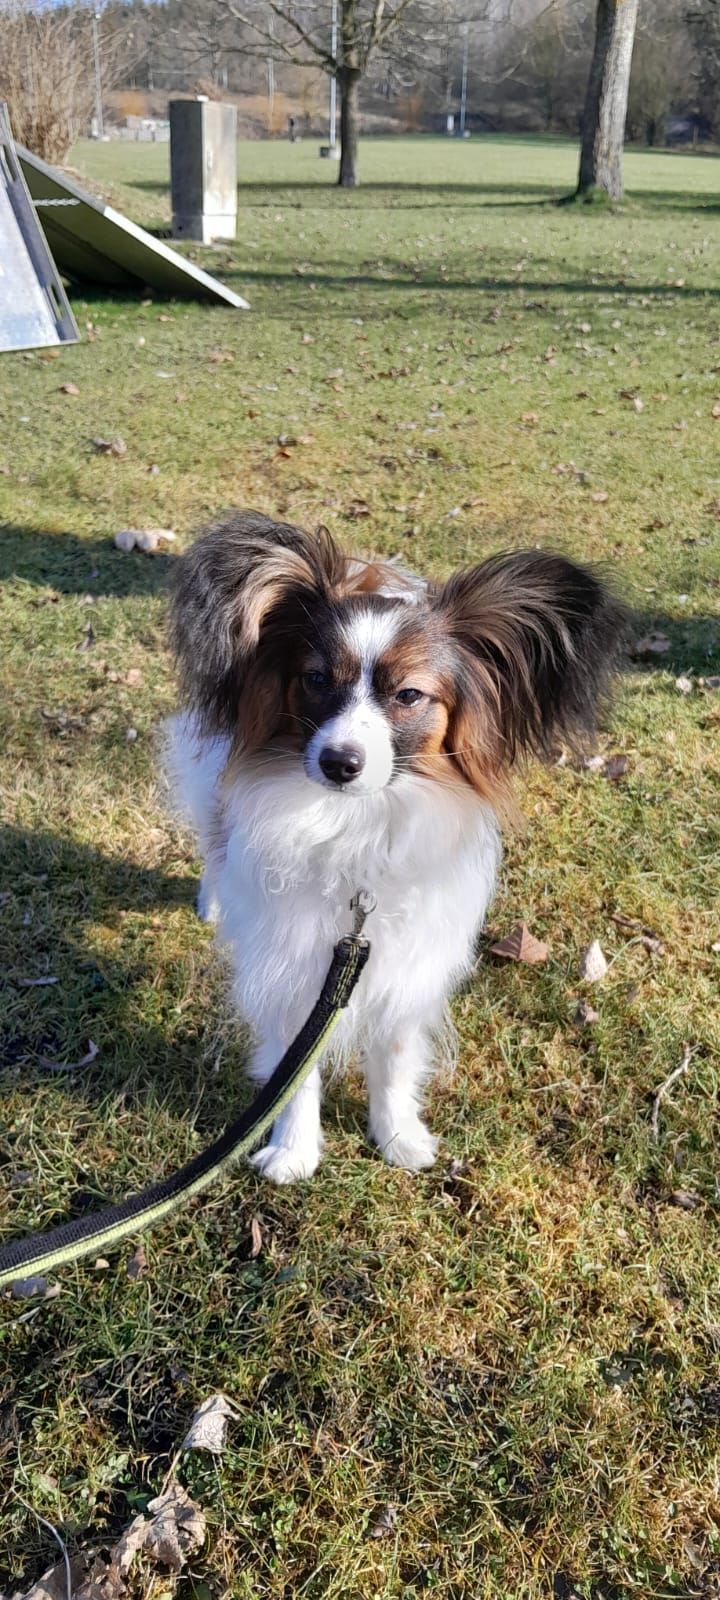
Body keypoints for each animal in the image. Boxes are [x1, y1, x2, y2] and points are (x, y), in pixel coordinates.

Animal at [165, 510, 624, 1184]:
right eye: (316, 680)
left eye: (409, 696)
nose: (339, 763)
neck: (356, 825)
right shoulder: (292, 965)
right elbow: (295, 1071)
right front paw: (294, 1149)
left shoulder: (406, 965)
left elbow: (396, 1059)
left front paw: (398, 1136)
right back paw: (216, 902)